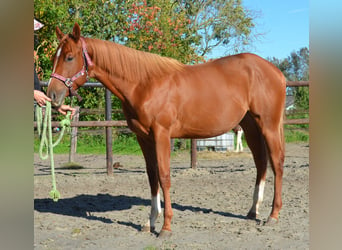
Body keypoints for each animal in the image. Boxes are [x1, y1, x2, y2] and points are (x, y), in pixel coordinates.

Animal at [46, 23, 286, 238]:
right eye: (54, 58)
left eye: (69, 57)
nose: (52, 96)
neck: (144, 85)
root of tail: (276, 72)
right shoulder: (144, 138)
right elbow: (152, 176)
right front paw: (150, 222)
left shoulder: (161, 135)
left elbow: (164, 176)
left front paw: (166, 228)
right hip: (250, 126)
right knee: (261, 162)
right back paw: (253, 211)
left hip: (269, 125)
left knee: (276, 162)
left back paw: (273, 216)